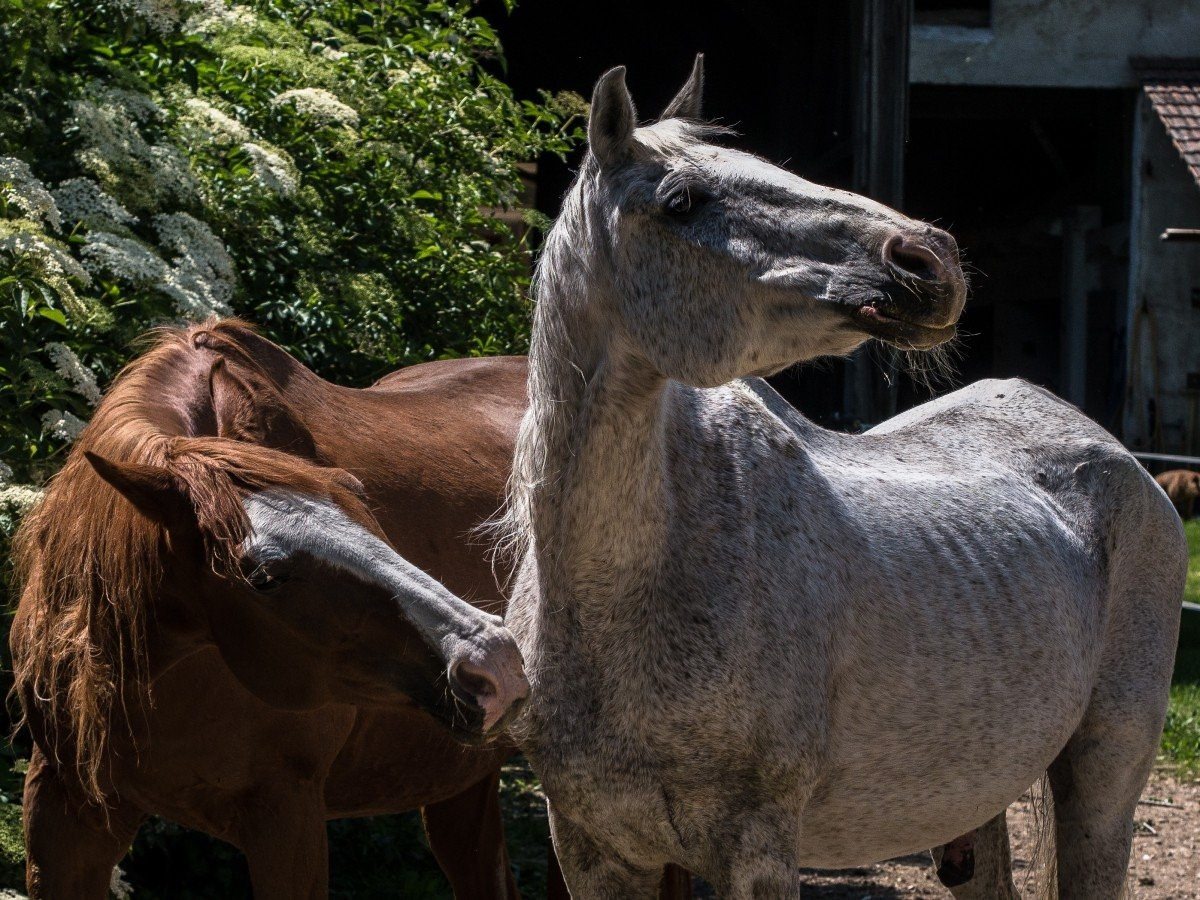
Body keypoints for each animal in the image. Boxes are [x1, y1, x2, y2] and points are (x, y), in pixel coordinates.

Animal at [496, 58, 1180, 900]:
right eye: (682, 201)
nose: (928, 257)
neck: (619, 594)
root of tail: (1118, 460)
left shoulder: (755, 847)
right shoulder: (593, 848)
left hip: (1104, 782)